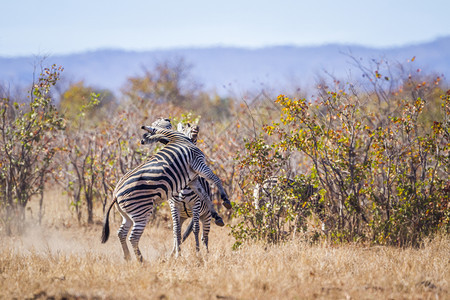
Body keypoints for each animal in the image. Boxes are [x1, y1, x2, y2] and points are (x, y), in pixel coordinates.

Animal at [100, 123, 230, 260]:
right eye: (186, 126)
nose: (196, 128)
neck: (177, 138)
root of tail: (116, 194)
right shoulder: (198, 163)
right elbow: (216, 179)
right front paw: (225, 200)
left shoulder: (193, 178)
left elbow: (204, 194)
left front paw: (217, 213)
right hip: (142, 212)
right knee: (133, 237)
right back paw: (142, 261)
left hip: (127, 214)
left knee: (121, 233)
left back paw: (128, 258)